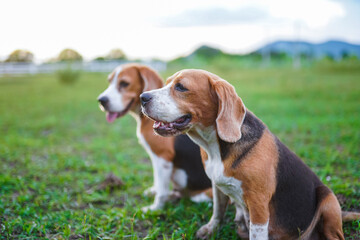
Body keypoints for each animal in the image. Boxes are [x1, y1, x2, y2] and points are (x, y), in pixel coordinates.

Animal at [97, 64, 212, 212]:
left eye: (124, 84)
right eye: (109, 81)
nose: (101, 100)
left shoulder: (163, 158)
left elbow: (162, 190)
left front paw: (155, 208)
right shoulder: (155, 157)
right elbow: (157, 180)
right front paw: (154, 191)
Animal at [141, 69, 360, 240]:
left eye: (181, 87)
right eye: (167, 83)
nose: (143, 97)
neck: (214, 147)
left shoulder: (258, 204)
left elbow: (256, 232)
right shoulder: (217, 186)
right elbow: (217, 212)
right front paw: (211, 230)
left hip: (328, 199)